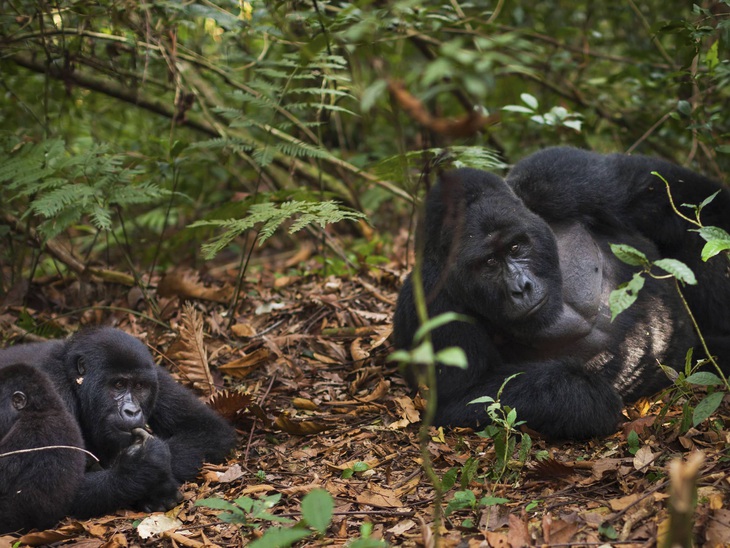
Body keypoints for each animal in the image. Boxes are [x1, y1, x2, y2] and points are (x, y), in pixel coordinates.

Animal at [392, 148, 728, 438]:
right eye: (488, 263)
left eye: (516, 246)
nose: (521, 287)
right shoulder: (432, 299)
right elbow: (459, 398)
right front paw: (585, 396)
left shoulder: (557, 175)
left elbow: (674, 195)